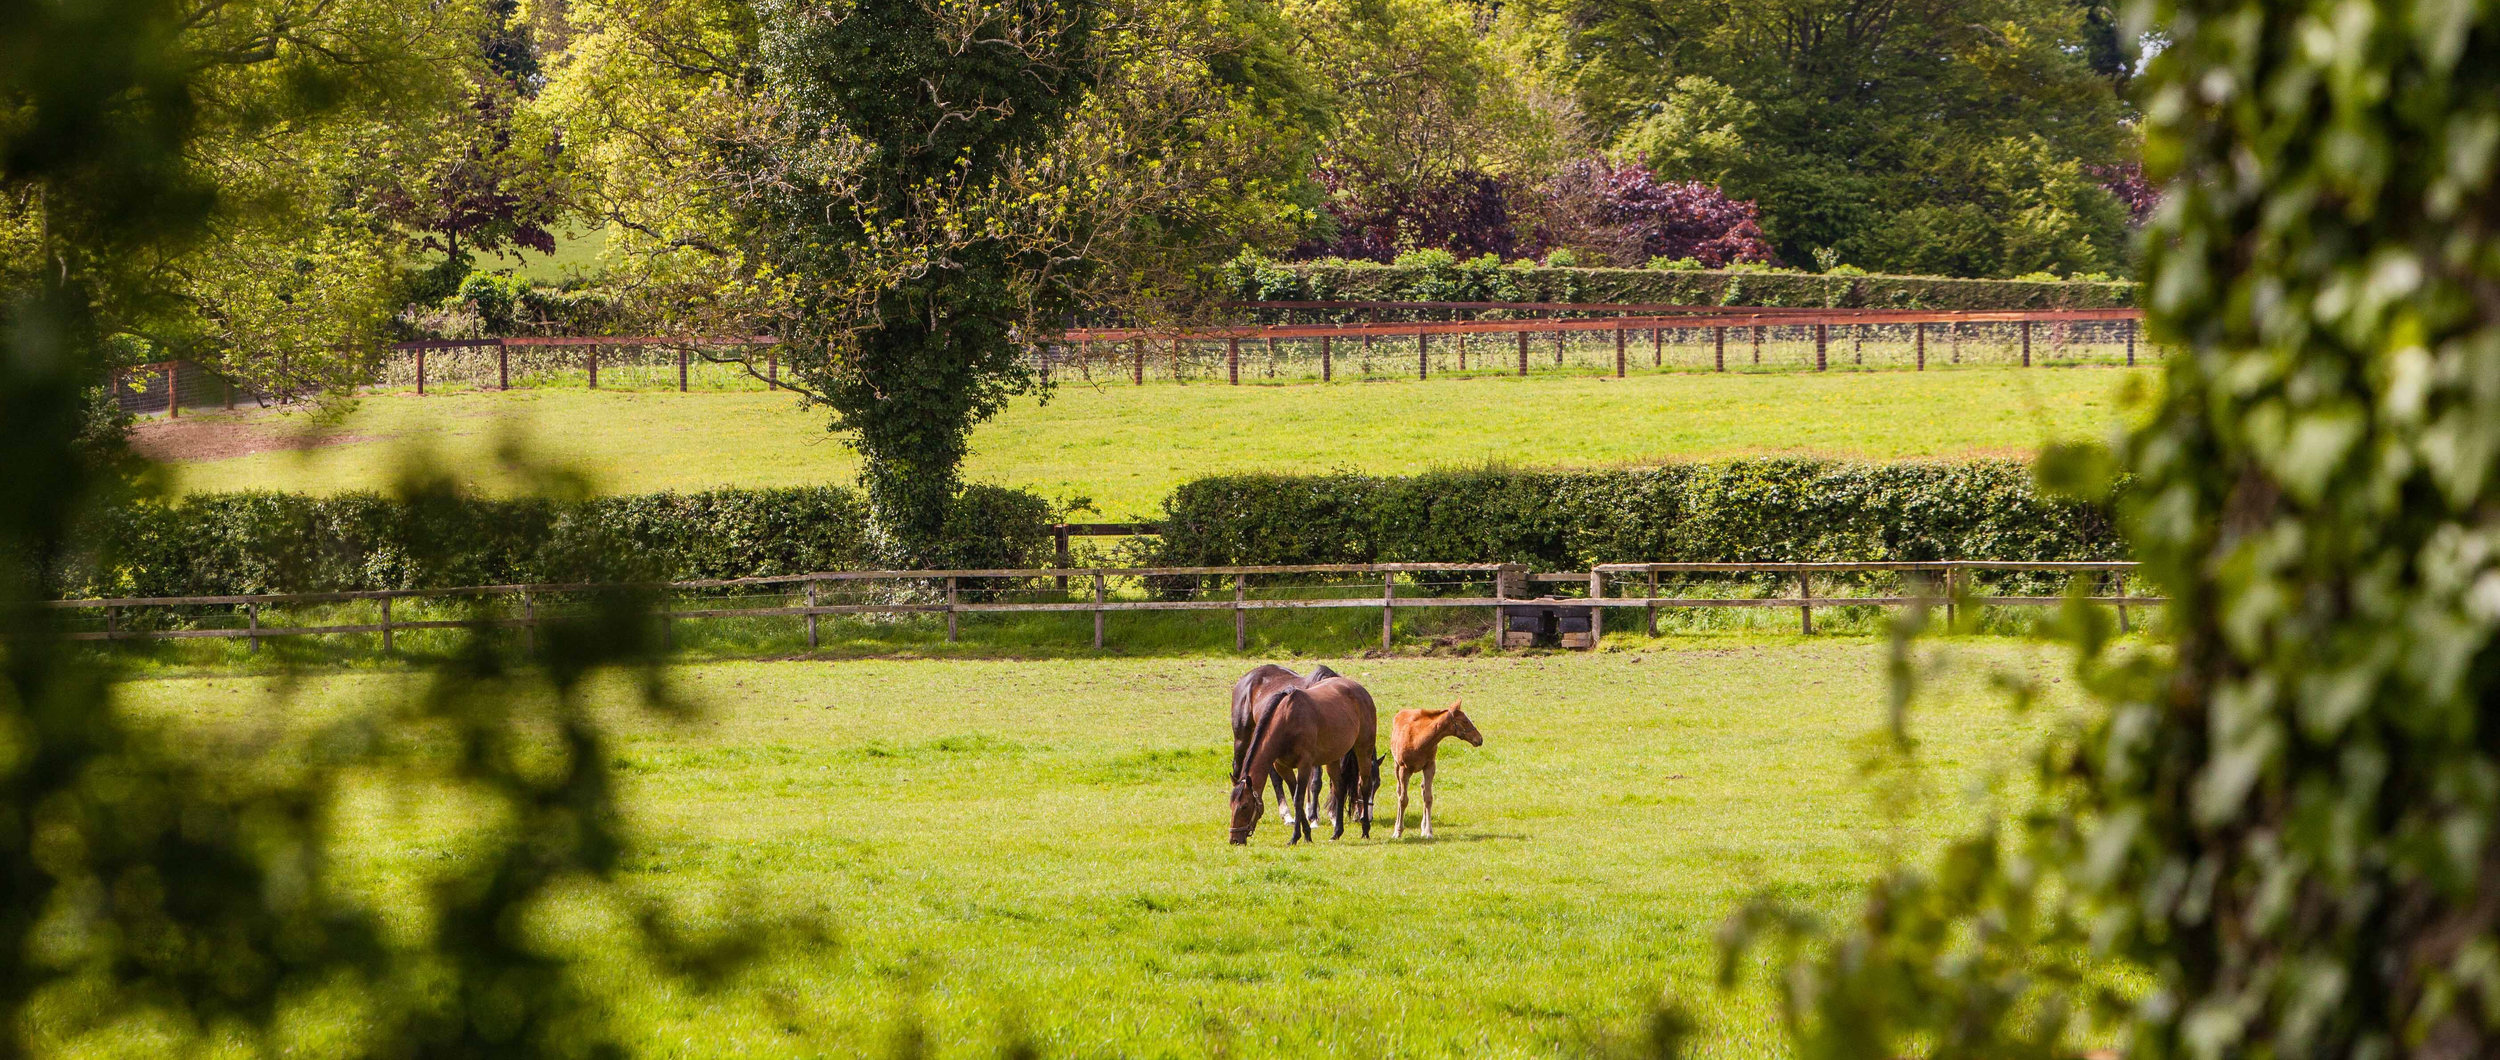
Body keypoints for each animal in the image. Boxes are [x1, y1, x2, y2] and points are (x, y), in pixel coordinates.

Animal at [1225, 660, 1340, 830]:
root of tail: (1246, 678)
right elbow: (1315, 782)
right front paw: (1313, 817)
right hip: (1242, 737)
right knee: (1238, 767)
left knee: (1274, 776)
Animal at [1225, 680, 1380, 845]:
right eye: (1231, 805)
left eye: (1245, 806)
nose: (1234, 839)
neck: (1286, 719)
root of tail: (1361, 690)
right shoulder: (1282, 767)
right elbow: (1295, 795)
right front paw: (1306, 834)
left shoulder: (1304, 765)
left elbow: (1298, 799)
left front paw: (1294, 837)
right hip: (1332, 758)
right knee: (1340, 788)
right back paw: (1337, 832)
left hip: (1363, 751)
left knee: (1364, 786)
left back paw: (1365, 829)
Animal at [1390, 700, 1480, 840]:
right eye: (1465, 721)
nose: (1480, 739)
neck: (1418, 740)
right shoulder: (1404, 769)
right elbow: (1403, 799)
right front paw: (1398, 831)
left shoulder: (1430, 766)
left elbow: (1428, 798)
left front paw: (1428, 831)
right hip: (1396, 766)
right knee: (1399, 792)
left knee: (1422, 789)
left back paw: (1422, 827)